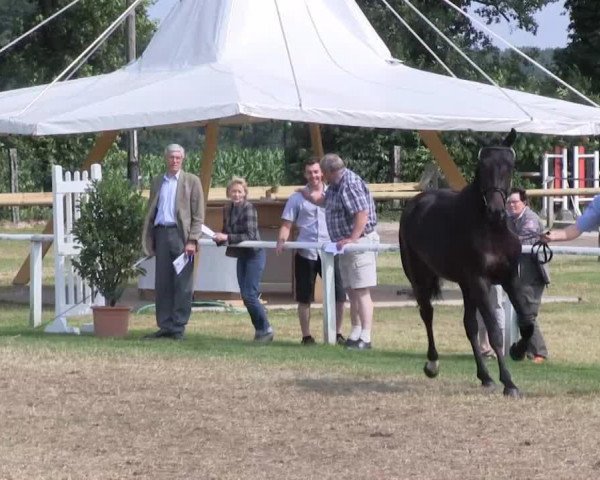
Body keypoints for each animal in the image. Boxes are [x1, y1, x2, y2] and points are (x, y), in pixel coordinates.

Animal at [400, 130, 536, 398]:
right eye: (483, 166)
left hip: (465, 286)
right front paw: (509, 383)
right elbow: (494, 331)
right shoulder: (480, 281)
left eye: (509, 166)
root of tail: (416, 202)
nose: (496, 210)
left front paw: (517, 350)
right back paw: (432, 364)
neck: (491, 229)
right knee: (427, 313)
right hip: (420, 278)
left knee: (469, 326)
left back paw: (485, 376)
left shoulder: (508, 277)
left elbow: (527, 322)